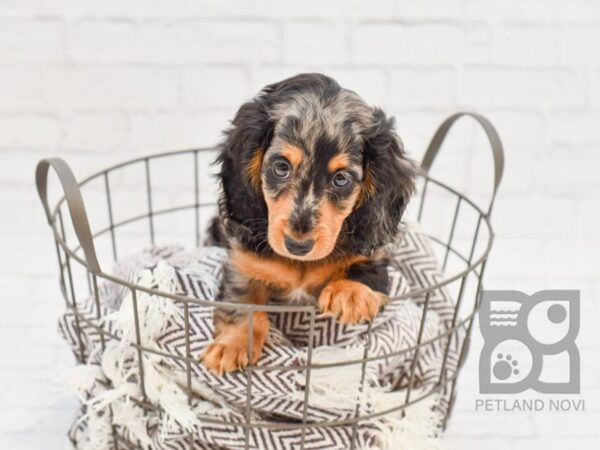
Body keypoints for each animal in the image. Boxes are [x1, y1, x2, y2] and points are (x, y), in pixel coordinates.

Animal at [202, 74, 418, 374]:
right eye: (281, 167)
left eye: (341, 179)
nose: (297, 246)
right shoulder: (242, 267)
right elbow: (244, 305)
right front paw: (231, 343)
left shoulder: (377, 251)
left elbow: (370, 265)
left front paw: (351, 293)